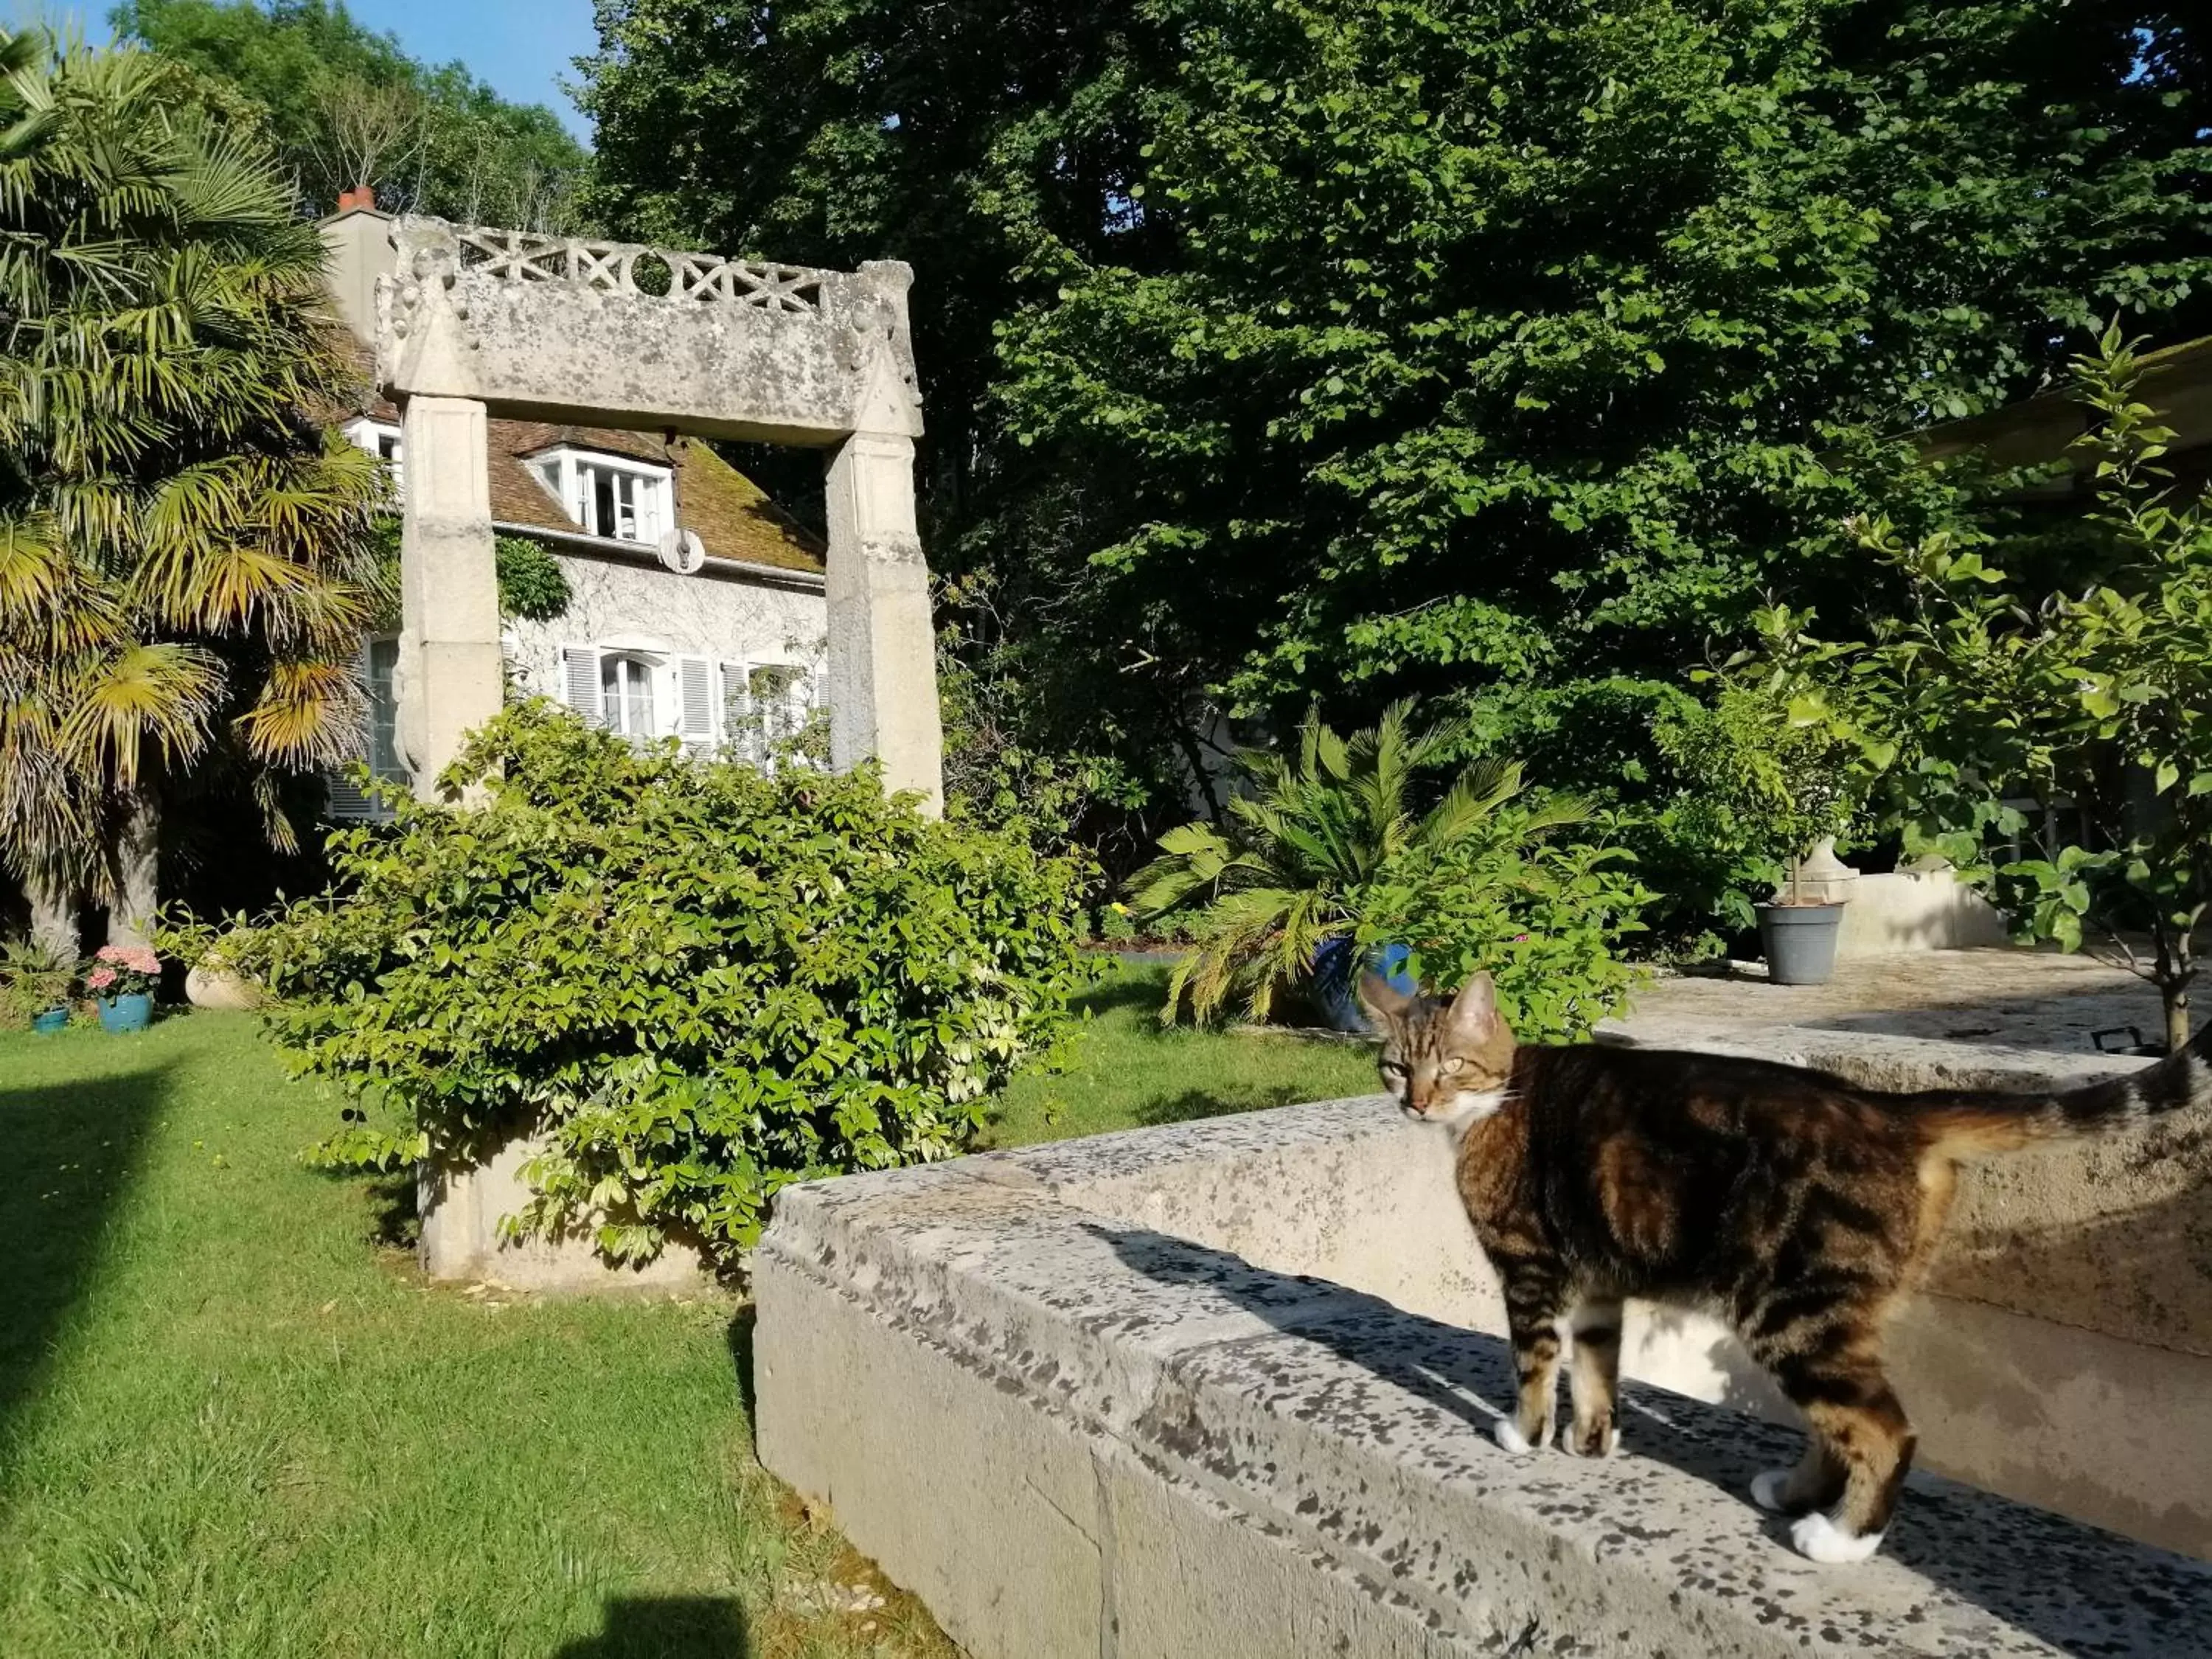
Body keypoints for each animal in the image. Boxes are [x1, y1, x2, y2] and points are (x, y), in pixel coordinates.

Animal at [1354, 969, 2203, 1566]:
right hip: (1822, 1317)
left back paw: (1840, 1541)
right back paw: (1795, 1496)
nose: (1416, 1104)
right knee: (1840, 1424)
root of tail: (1890, 1108)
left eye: (1451, 1066)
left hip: (1792, 1309)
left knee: (1885, 1430)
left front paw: (1523, 1436)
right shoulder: (1600, 1281)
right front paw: (1591, 1444)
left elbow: (1535, 1363)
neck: (1499, 1097)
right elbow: (1597, 1368)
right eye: (1395, 1067)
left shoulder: (1529, 1267)